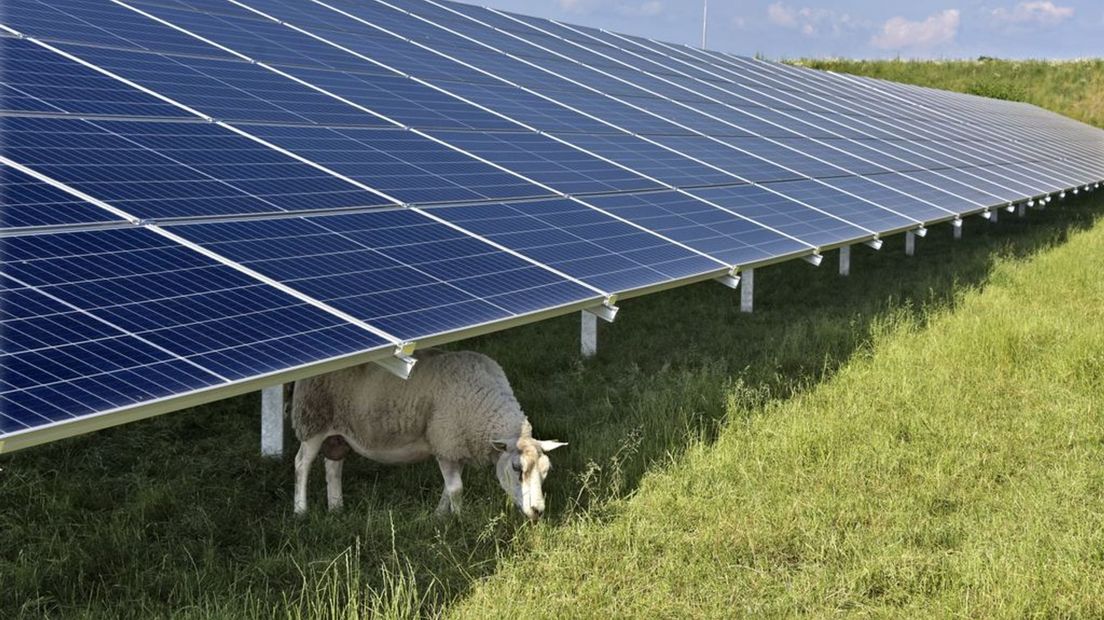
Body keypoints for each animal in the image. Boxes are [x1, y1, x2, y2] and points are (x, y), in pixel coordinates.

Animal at [291, 350, 569, 518]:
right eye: (516, 468)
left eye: (546, 471)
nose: (538, 511)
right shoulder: (445, 441)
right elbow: (456, 488)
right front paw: (459, 520)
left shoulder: (456, 447)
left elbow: (449, 487)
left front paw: (440, 515)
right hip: (312, 421)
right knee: (302, 463)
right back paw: (301, 510)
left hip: (338, 432)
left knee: (333, 466)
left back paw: (336, 507)